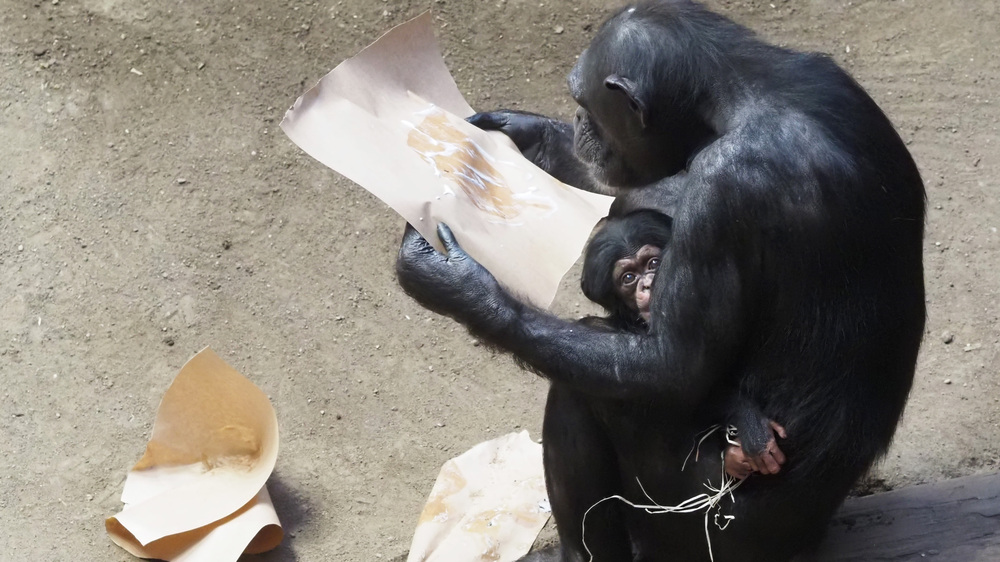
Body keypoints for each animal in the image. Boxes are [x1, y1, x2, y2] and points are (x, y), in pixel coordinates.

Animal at [394, 2, 924, 556]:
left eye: (584, 101)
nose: (579, 122)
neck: (740, 95)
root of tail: (806, 537)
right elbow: (633, 195)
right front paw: (519, 133)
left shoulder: (720, 189)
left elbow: (673, 368)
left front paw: (455, 284)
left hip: (696, 520)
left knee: (587, 390)